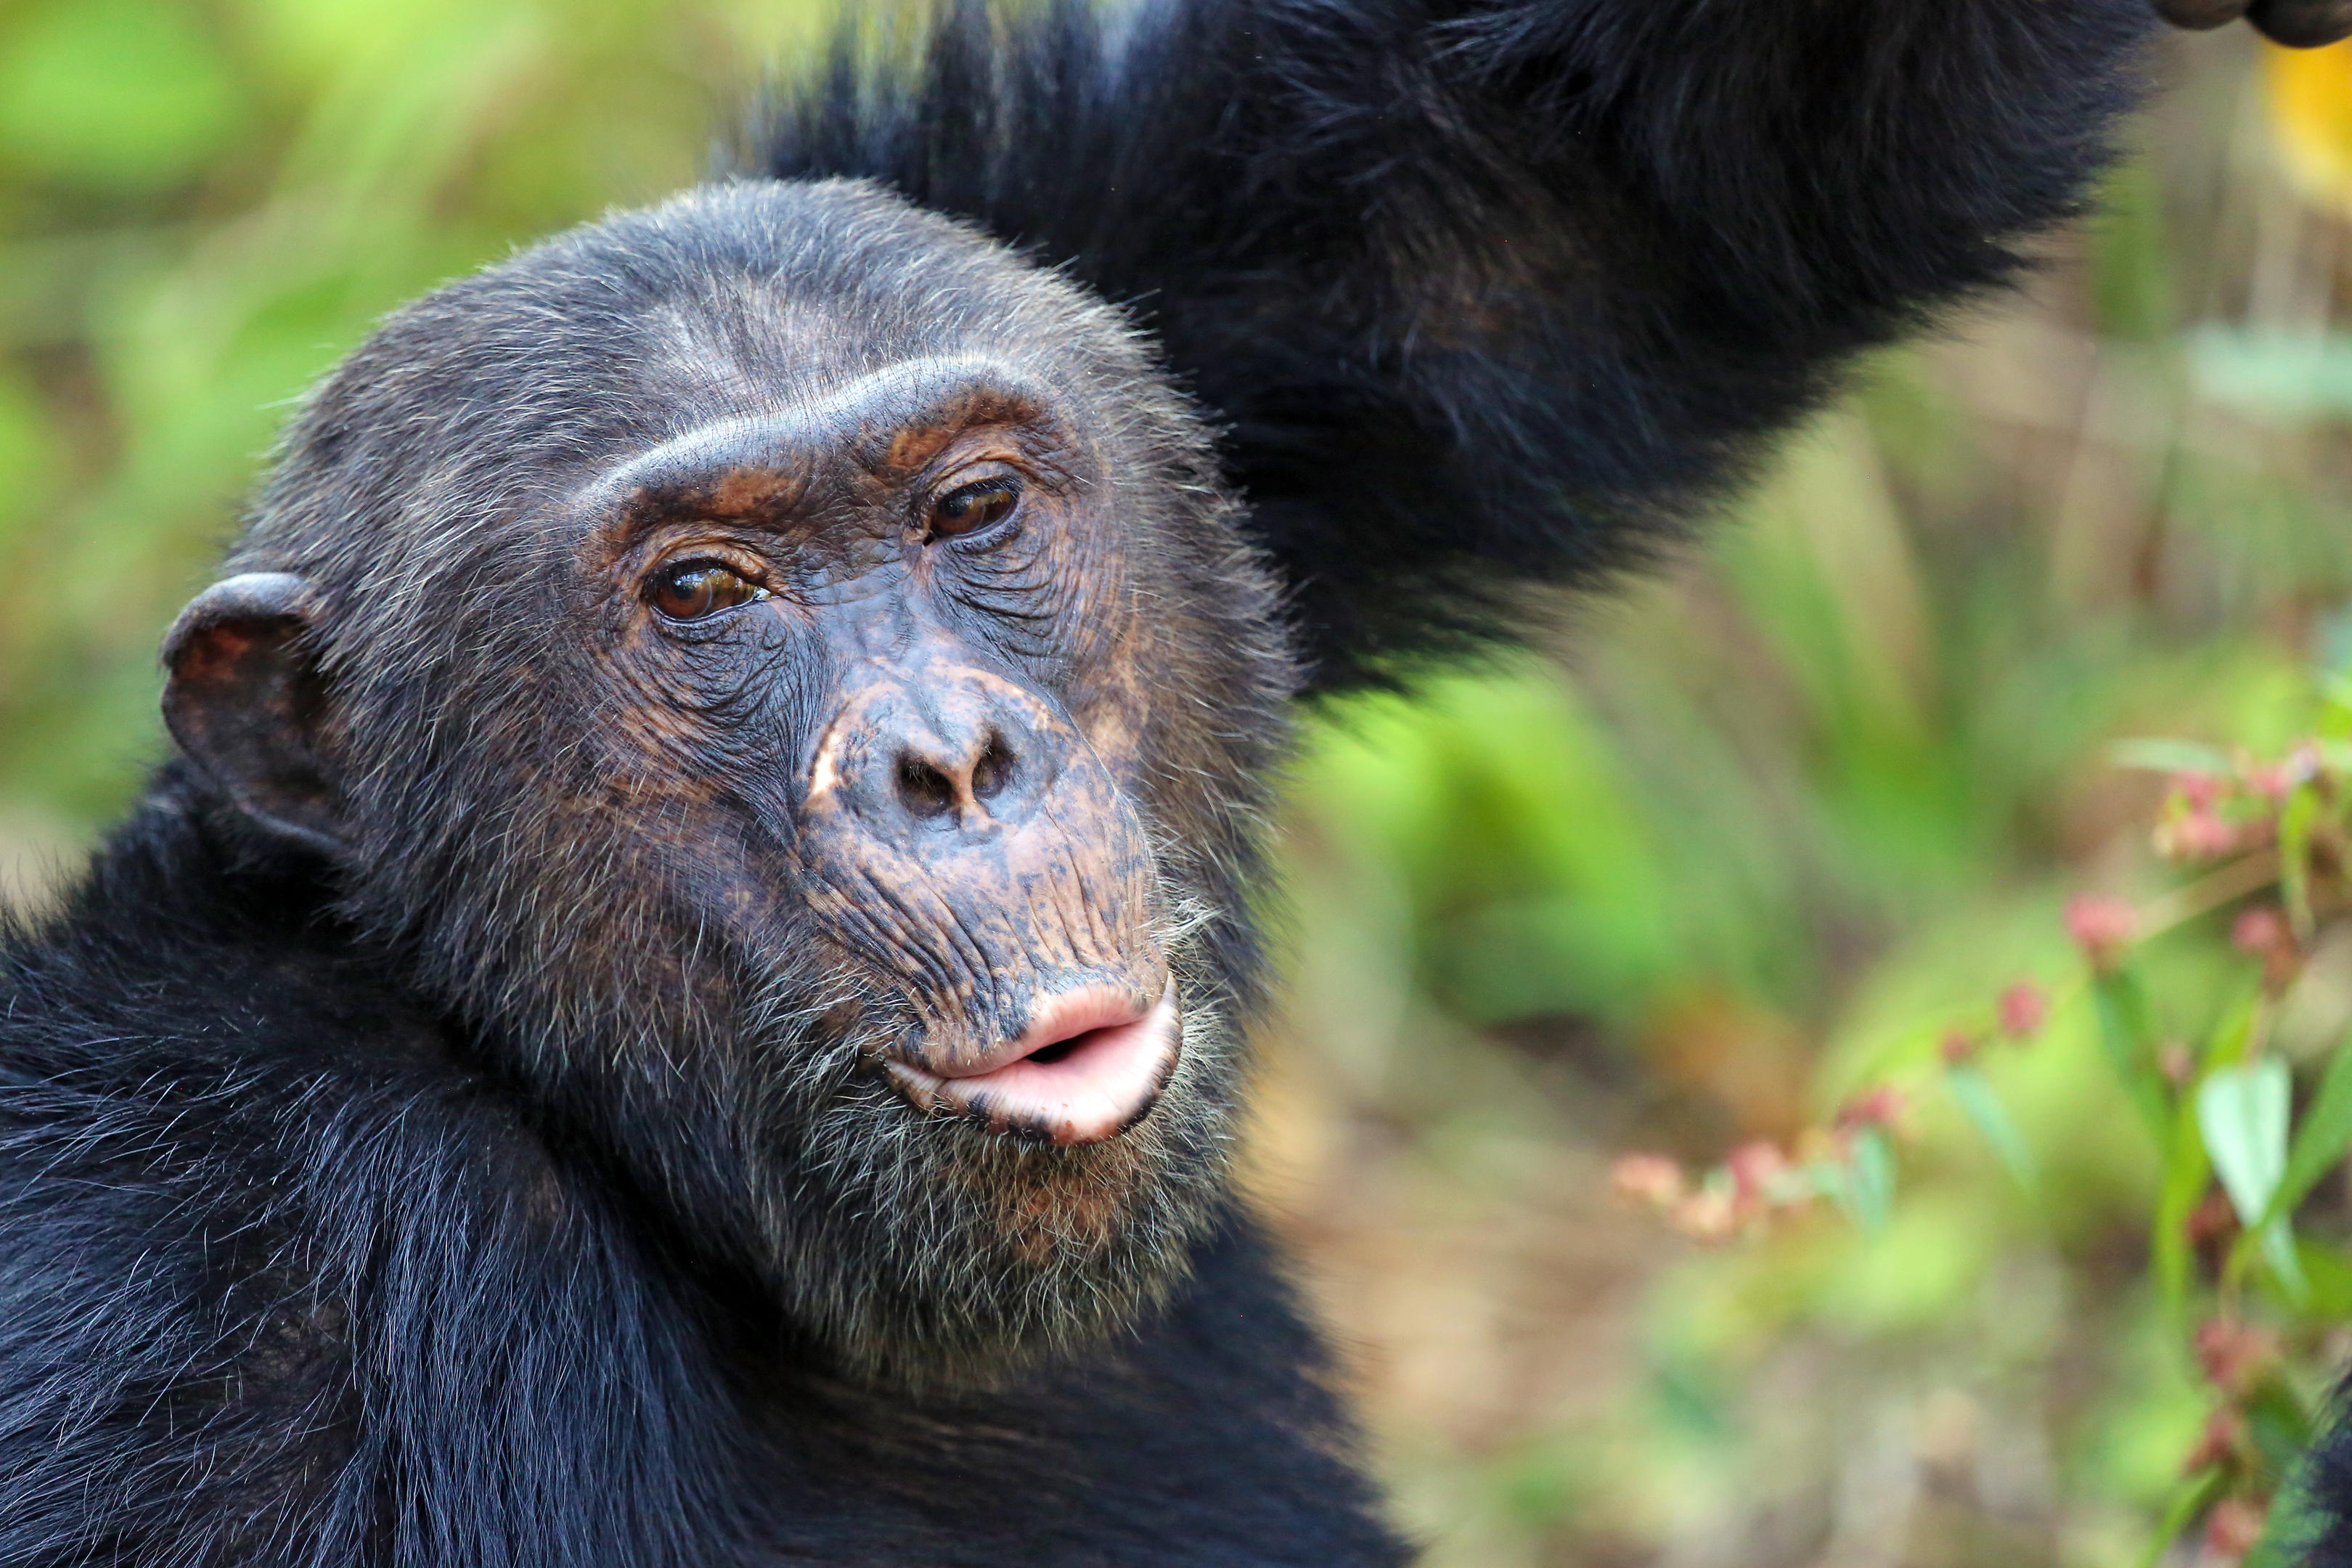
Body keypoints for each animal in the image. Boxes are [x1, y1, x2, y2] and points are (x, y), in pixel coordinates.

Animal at [4, 0, 2352, 1561]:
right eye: (700, 592)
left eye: (968, 508)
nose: (951, 758)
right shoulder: (237, 1309)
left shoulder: (1156, 293)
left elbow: (1564, 181)